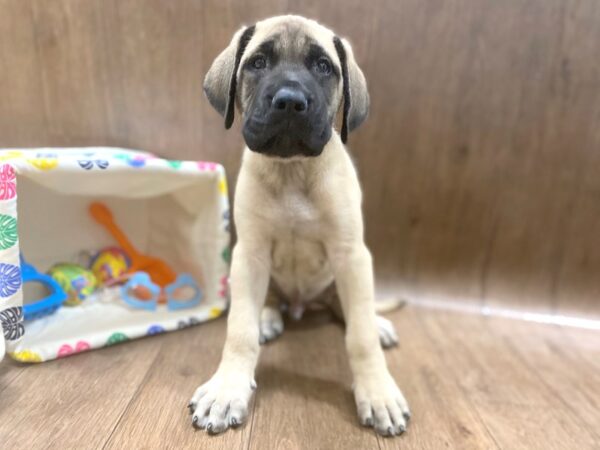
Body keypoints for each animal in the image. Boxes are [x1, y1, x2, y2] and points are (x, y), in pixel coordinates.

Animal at [190, 14, 410, 436]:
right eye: (258, 63)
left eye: (323, 66)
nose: (290, 100)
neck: (292, 170)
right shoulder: (250, 255)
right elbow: (239, 331)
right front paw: (227, 389)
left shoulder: (351, 256)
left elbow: (360, 337)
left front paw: (378, 392)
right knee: (268, 301)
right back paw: (268, 316)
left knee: (350, 310)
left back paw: (377, 323)